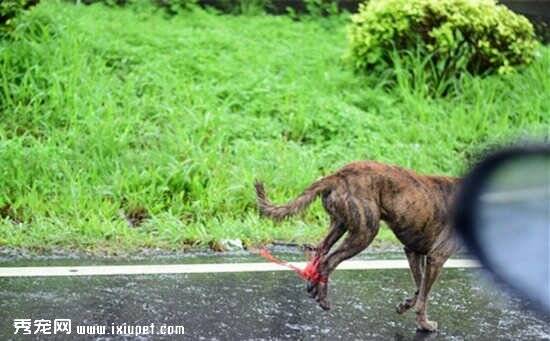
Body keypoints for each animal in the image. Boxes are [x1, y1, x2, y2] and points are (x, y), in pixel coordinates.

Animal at [256, 161, 464, 330]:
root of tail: (338, 175)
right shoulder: (436, 258)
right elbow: (423, 297)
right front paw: (424, 324)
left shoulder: (413, 252)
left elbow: (419, 288)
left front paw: (404, 306)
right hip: (365, 233)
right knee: (328, 261)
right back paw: (323, 299)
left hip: (340, 225)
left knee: (321, 252)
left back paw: (314, 287)